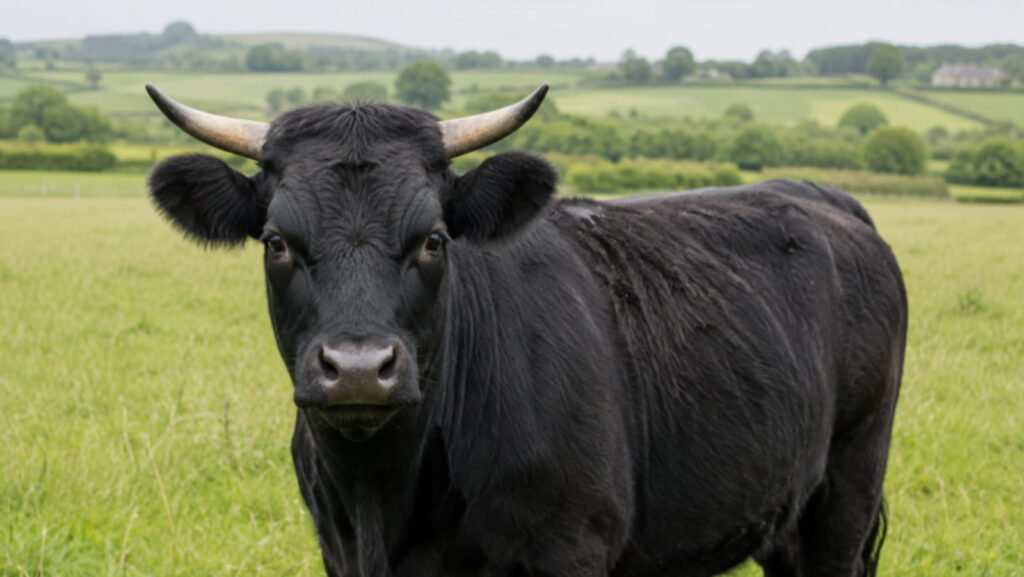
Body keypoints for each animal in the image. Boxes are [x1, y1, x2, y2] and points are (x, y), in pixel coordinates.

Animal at [144, 83, 906, 577]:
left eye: (435, 238)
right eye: (276, 240)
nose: (359, 368)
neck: (385, 497)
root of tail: (818, 194)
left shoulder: (570, 545)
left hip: (847, 492)